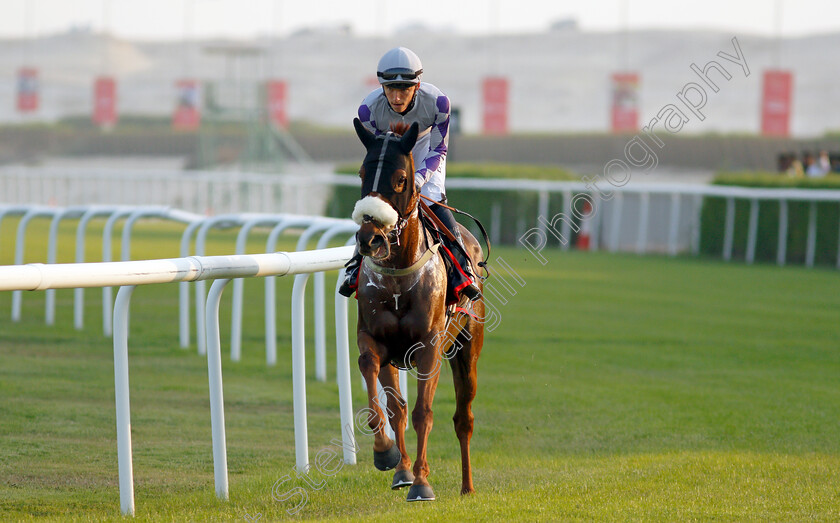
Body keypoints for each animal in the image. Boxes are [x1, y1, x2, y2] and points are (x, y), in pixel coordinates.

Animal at [350, 118, 486, 504]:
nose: (369, 238)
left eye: (400, 178)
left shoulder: (429, 345)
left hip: (467, 347)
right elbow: (388, 402)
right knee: (400, 408)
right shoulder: (374, 340)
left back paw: (468, 486)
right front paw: (390, 458)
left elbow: (424, 412)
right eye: (362, 172)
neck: (399, 276)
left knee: (464, 418)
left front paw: (423, 483)